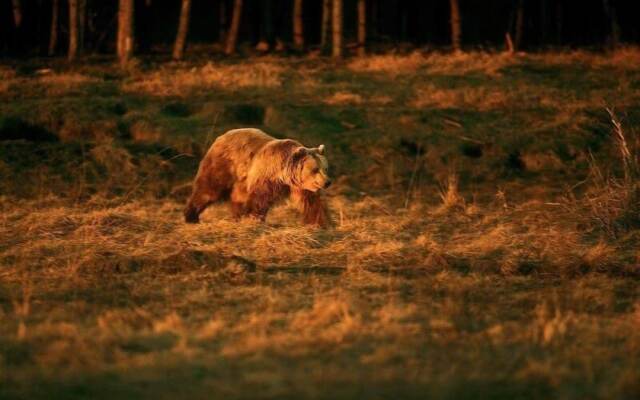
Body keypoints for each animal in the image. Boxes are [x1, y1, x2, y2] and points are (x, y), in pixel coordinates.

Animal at [184, 130, 330, 227]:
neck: (284, 174)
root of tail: (220, 137)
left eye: (325, 168)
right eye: (315, 169)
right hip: (224, 165)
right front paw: (254, 218)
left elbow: (311, 202)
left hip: (241, 178)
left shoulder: (300, 185)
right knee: (208, 190)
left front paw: (320, 222)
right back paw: (191, 216)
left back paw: (236, 217)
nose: (327, 182)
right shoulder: (267, 177)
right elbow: (259, 199)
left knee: (237, 196)